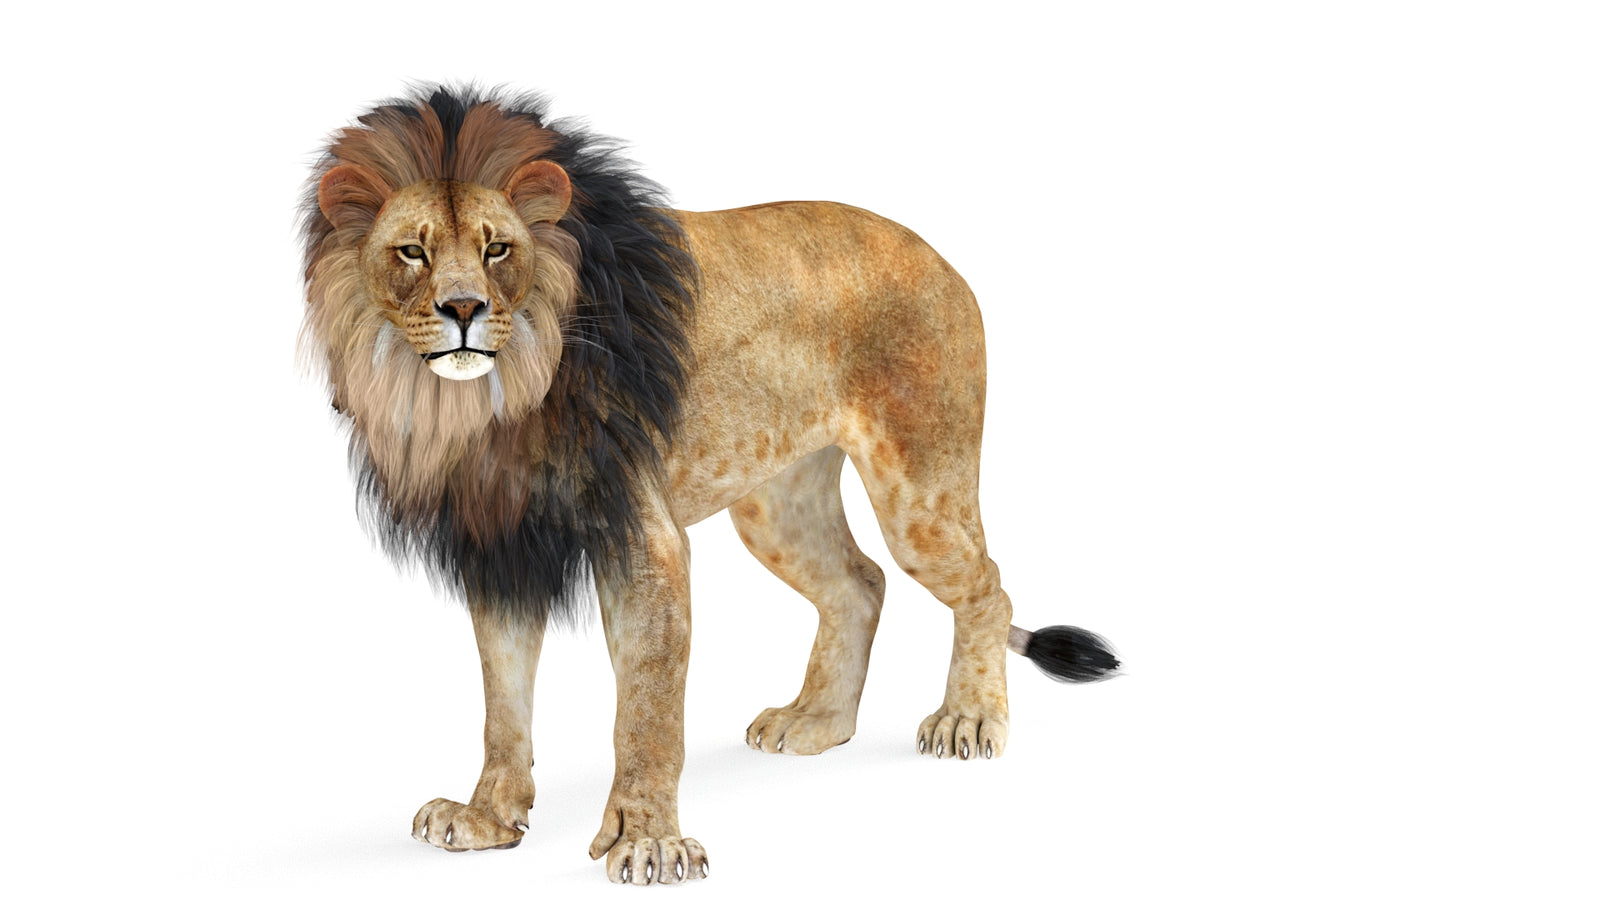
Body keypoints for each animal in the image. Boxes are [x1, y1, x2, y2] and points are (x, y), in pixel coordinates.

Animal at [301, 86, 1118, 885]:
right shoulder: (503, 546)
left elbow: (647, 711)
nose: (463, 309)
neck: (485, 400)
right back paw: (816, 721)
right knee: (860, 583)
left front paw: (649, 842)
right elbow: (503, 702)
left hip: (918, 492)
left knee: (988, 588)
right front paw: (487, 819)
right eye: (412, 251)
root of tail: (942, 258)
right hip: (775, 505)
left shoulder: (642, 542)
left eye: (497, 248)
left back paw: (969, 717)